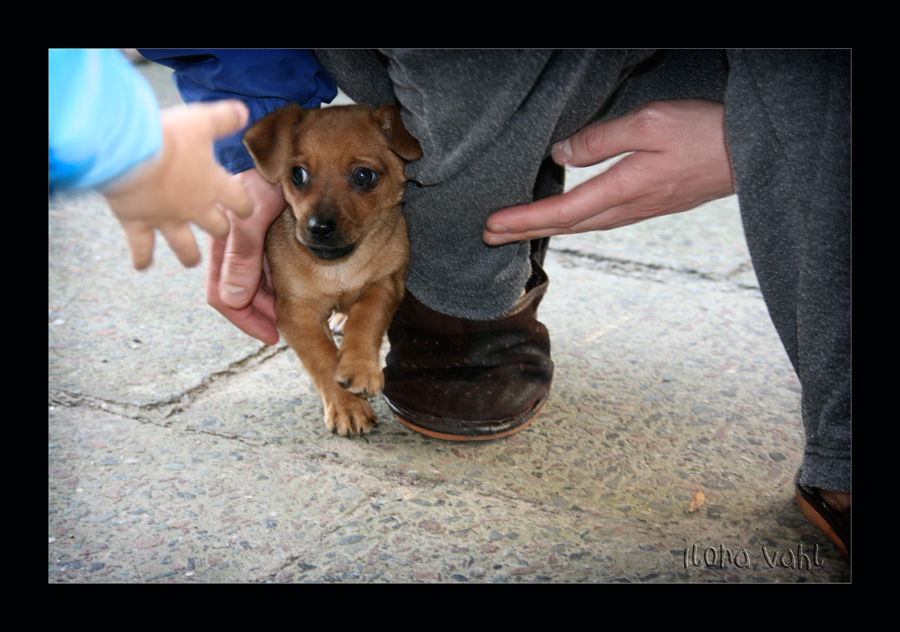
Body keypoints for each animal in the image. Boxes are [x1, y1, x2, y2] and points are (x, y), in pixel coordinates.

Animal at [241, 105, 420, 440]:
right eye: (297, 174)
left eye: (363, 176)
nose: (319, 228)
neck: (339, 267)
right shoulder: (296, 312)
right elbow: (322, 356)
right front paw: (347, 406)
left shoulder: (386, 283)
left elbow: (366, 315)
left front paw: (360, 365)